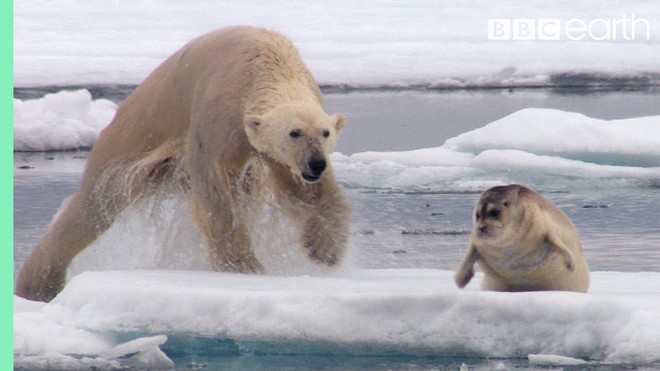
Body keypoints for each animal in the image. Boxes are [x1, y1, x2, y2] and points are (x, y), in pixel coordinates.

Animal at [15, 25, 350, 302]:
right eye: (294, 132)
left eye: (325, 132)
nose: (316, 163)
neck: (267, 63)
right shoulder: (218, 115)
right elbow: (217, 192)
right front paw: (245, 267)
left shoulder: (274, 148)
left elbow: (305, 192)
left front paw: (325, 249)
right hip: (135, 134)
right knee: (94, 206)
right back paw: (37, 283)